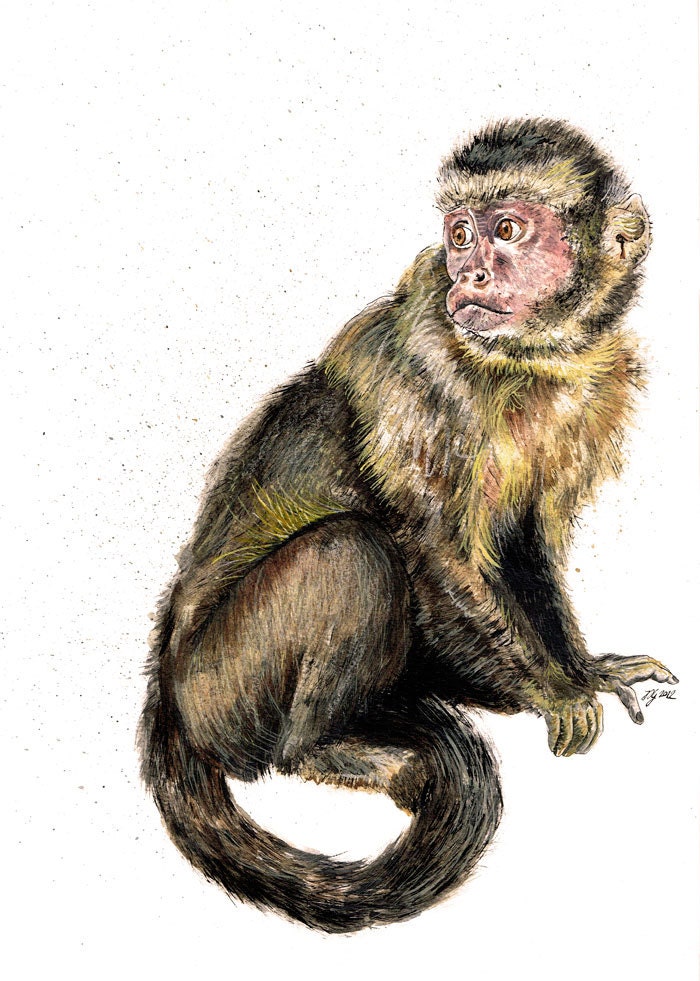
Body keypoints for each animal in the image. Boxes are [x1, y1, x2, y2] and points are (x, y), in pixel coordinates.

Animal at [140, 118, 677, 934]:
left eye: (507, 231)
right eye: (459, 237)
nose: (471, 276)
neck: (530, 361)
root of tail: (169, 682)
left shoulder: (596, 384)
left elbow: (528, 542)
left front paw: (581, 669)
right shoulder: (419, 366)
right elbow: (431, 548)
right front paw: (553, 690)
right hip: (222, 689)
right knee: (353, 553)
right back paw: (319, 750)